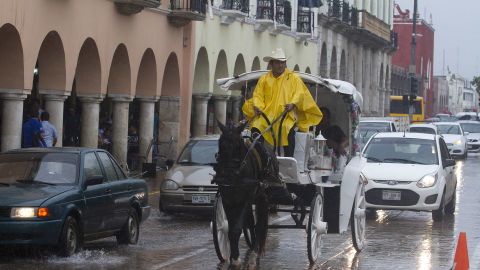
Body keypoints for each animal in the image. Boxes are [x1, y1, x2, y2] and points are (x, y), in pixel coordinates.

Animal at [212, 121, 280, 264]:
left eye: (238, 144)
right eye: (221, 143)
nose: (227, 175)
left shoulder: (247, 198)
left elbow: (237, 228)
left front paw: (236, 258)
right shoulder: (228, 199)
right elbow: (232, 228)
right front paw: (233, 255)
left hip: (262, 197)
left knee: (259, 225)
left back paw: (255, 249)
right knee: (251, 222)